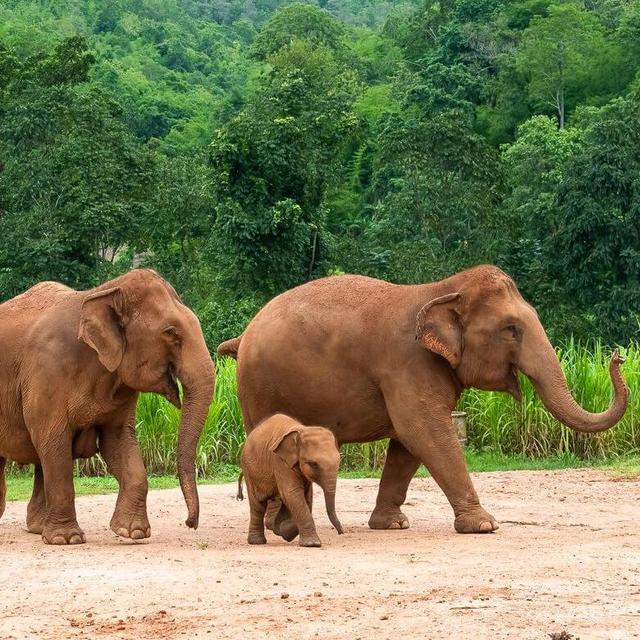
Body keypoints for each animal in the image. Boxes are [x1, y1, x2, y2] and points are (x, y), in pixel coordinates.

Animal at [0, 269, 214, 544]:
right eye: (171, 333)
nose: (190, 523)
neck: (102, 292)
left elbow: (120, 443)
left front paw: (132, 532)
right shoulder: (45, 373)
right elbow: (53, 444)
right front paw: (66, 540)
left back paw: (38, 528)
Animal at [239, 413, 344, 547]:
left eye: (339, 462)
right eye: (313, 464)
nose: (341, 532)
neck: (302, 430)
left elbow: (306, 496)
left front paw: (283, 530)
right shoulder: (279, 461)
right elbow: (292, 493)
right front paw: (312, 544)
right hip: (248, 468)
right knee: (258, 504)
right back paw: (257, 542)